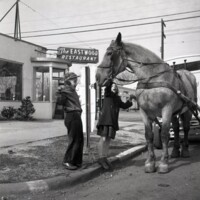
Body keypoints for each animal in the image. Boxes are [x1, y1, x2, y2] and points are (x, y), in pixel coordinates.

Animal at [95, 32, 197, 173]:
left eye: (110, 53)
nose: (98, 76)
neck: (152, 77)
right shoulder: (145, 111)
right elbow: (148, 135)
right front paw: (150, 163)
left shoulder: (166, 109)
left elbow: (164, 134)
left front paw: (163, 163)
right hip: (175, 113)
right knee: (176, 128)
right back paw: (176, 151)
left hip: (187, 110)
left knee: (186, 128)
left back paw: (185, 151)